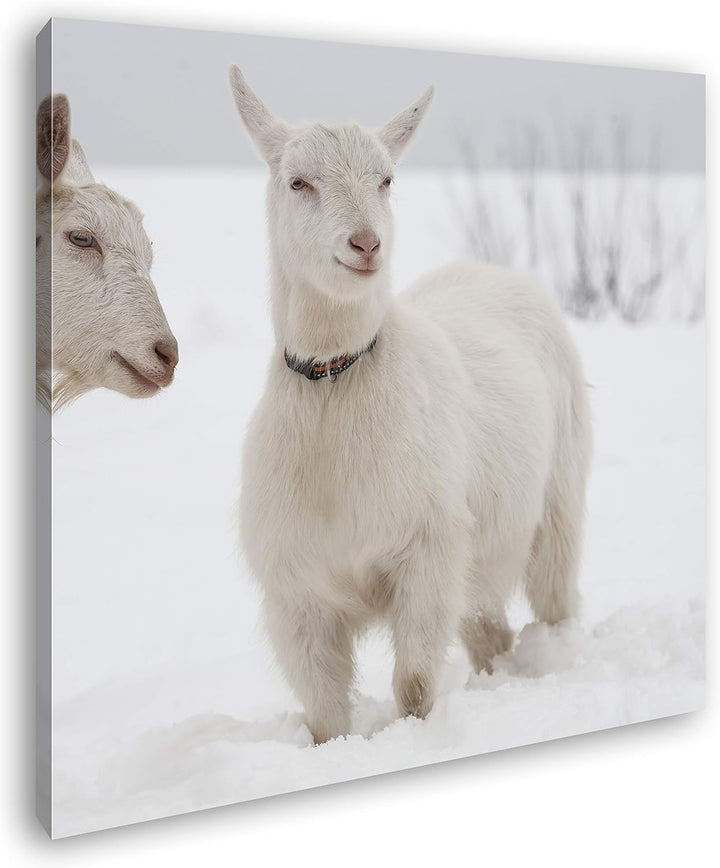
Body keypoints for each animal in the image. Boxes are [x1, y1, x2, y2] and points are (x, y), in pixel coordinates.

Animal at [230, 68, 592, 744]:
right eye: (298, 181)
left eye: (387, 180)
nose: (365, 244)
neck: (335, 385)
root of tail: (492, 270)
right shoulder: (298, 590)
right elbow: (324, 712)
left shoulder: (429, 550)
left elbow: (417, 684)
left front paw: (415, 738)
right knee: (489, 629)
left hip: (558, 495)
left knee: (555, 597)